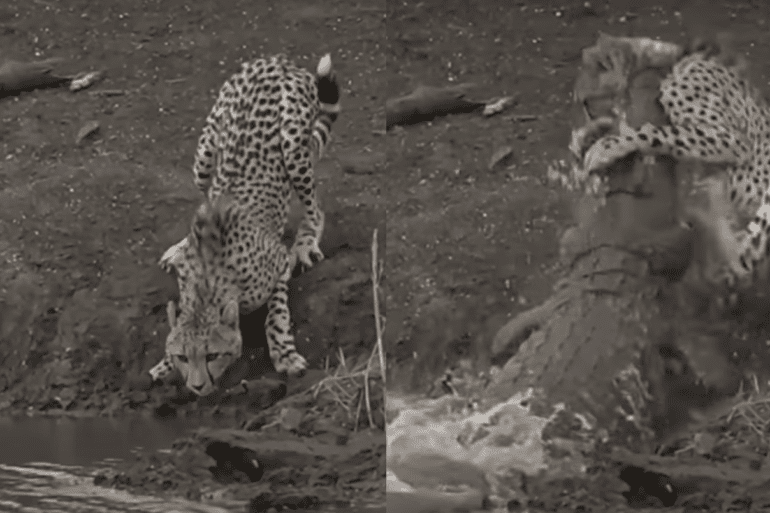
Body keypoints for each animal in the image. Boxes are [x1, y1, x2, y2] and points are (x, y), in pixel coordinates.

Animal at [147, 53, 340, 396]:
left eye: (212, 355)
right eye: (183, 356)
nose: (197, 387)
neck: (209, 280)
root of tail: (277, 59)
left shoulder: (279, 263)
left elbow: (275, 316)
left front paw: (285, 355)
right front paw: (164, 365)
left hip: (292, 145)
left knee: (314, 207)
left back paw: (305, 242)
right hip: (204, 156)